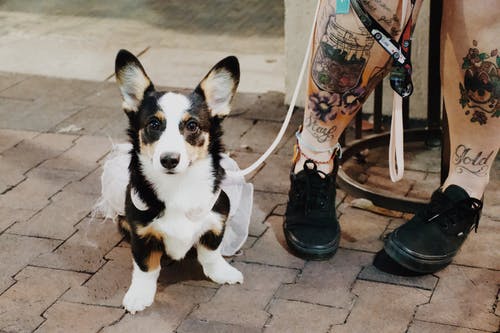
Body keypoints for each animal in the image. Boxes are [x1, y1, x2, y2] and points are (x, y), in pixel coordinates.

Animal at [115, 50, 244, 314]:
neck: (178, 186)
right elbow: (146, 268)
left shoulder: (217, 217)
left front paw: (222, 273)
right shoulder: (141, 233)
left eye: (192, 125)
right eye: (154, 124)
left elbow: (211, 252)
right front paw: (139, 295)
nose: (169, 160)